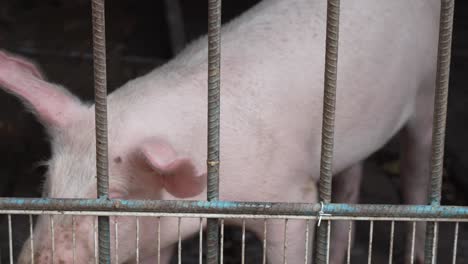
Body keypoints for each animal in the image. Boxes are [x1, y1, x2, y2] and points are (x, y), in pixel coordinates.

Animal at [0, 0, 442, 262]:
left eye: (118, 201)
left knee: (416, 172)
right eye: (47, 183)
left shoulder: (291, 197)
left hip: (426, 90)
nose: (39, 259)